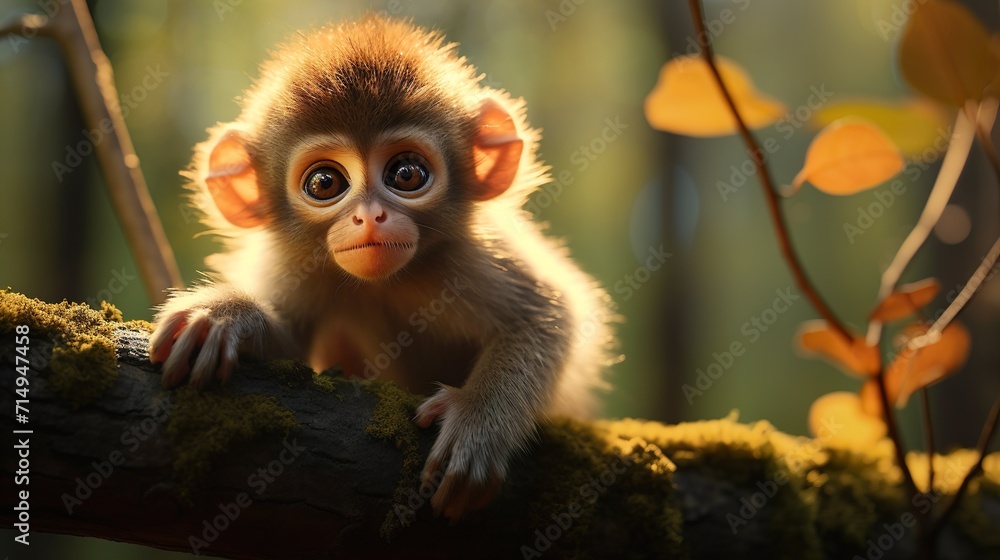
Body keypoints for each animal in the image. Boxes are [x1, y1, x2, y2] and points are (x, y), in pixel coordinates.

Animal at [148, 15, 617, 520]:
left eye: (406, 174)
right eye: (324, 182)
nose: (370, 216)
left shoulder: (472, 257)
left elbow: (547, 315)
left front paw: (476, 423)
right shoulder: (298, 270)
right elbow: (291, 355)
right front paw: (225, 317)